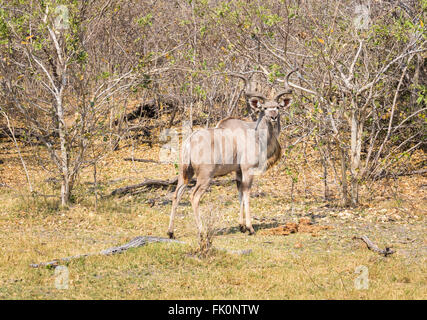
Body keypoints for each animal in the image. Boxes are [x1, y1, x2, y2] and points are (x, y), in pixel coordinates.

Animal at [167, 70, 298, 240]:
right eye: (264, 108)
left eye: (277, 107)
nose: (274, 116)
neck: (256, 134)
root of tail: (190, 141)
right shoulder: (248, 169)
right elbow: (247, 193)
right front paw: (250, 228)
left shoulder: (238, 171)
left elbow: (240, 193)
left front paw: (241, 226)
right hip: (205, 176)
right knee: (193, 196)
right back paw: (202, 232)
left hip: (186, 173)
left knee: (177, 194)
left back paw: (171, 232)